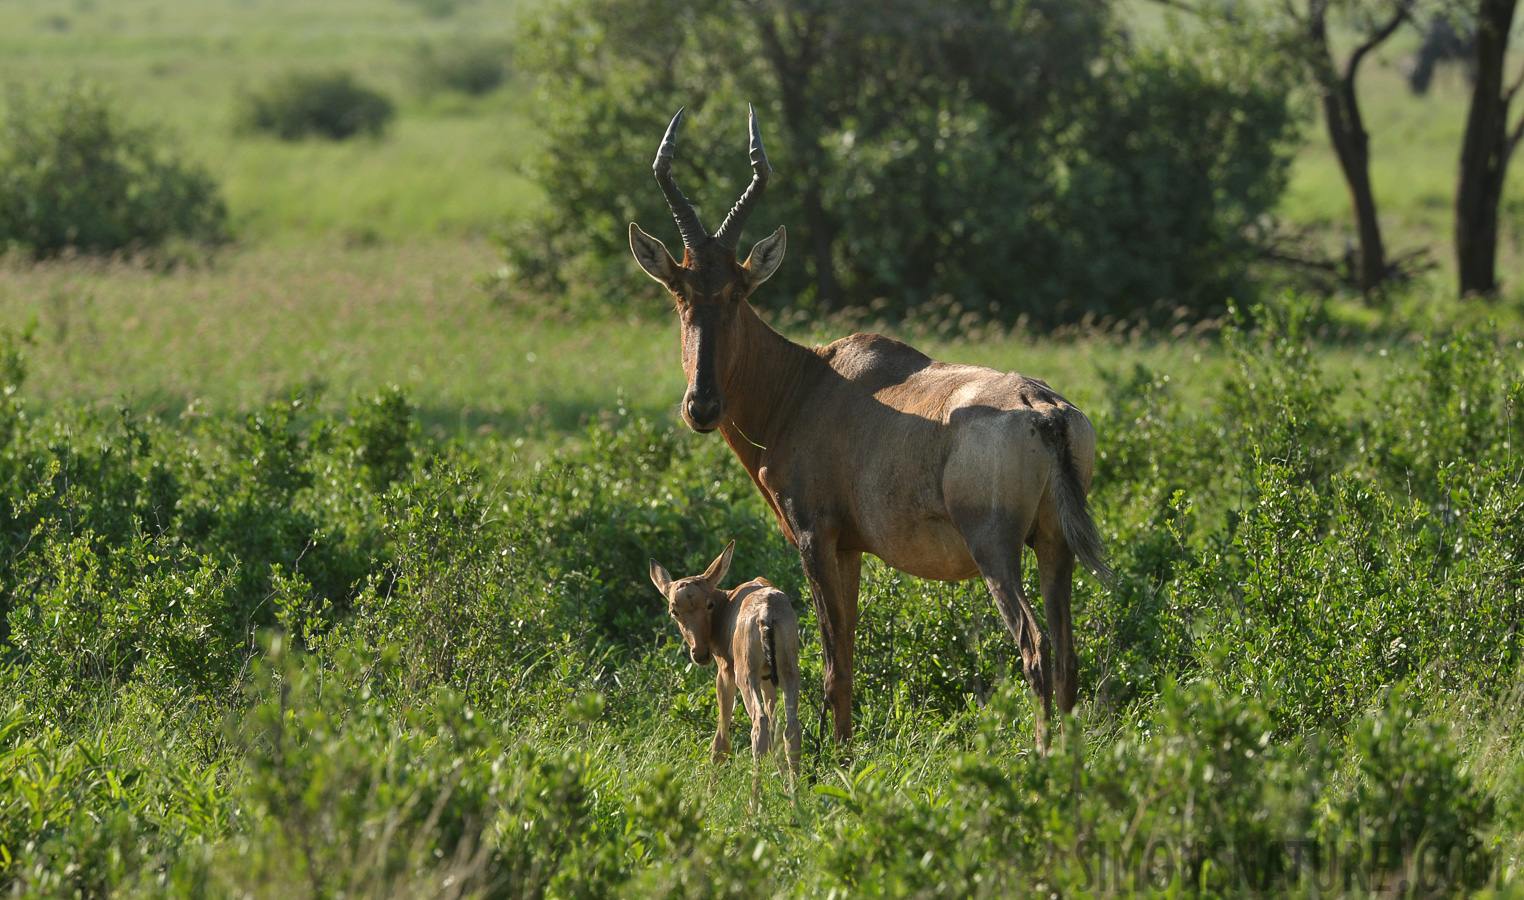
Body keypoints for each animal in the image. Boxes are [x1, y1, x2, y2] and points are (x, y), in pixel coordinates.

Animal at [624, 107, 1115, 752]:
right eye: (680, 292)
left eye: (737, 291)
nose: (701, 406)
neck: (808, 385)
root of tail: (1045, 411)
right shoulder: (852, 548)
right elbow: (851, 652)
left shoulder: (815, 538)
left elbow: (834, 661)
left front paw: (834, 760)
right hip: (1055, 546)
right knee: (1067, 657)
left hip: (996, 550)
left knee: (1035, 648)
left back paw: (1040, 754)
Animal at [649, 539, 804, 785]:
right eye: (675, 611)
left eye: (709, 604)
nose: (700, 653)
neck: (728, 602)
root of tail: (766, 612)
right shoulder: (767, 679)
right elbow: (777, 734)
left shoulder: (725, 673)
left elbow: (721, 740)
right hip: (788, 674)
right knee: (790, 727)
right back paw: (795, 792)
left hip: (745, 677)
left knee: (759, 723)